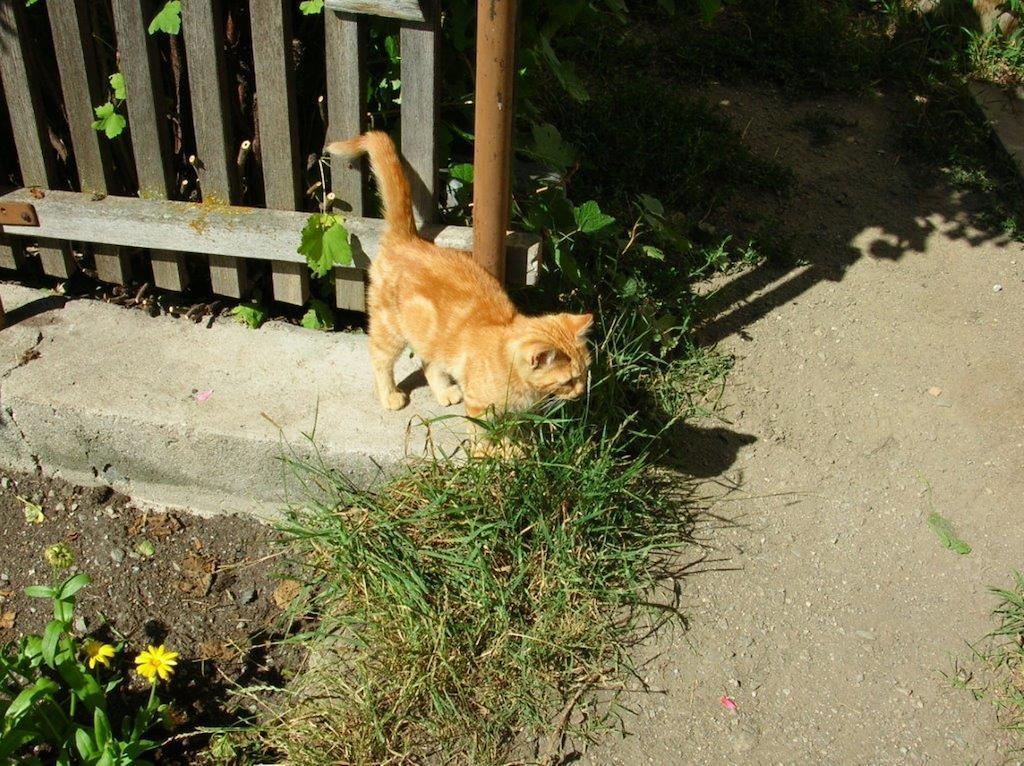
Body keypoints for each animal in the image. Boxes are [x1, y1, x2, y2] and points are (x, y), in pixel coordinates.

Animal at [323, 132, 589, 442]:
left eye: (585, 372)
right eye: (569, 380)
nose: (582, 391)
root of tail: (408, 240)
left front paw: (514, 445)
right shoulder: (480, 407)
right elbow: (484, 435)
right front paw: (494, 450)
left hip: (430, 337)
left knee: (429, 363)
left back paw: (444, 391)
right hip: (389, 329)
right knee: (381, 359)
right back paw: (389, 395)